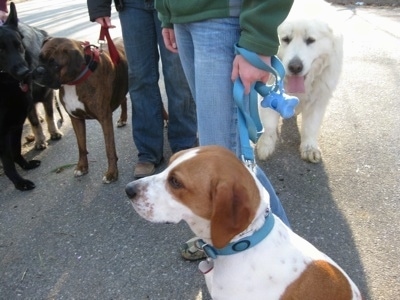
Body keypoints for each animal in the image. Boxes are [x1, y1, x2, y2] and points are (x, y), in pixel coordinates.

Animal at [0, 2, 58, 190]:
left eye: (19, 45)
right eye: (0, 49)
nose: (25, 73)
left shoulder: (46, 95)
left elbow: (50, 114)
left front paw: (54, 132)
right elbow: (33, 122)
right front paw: (40, 140)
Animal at [34, 37, 129, 183]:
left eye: (55, 64)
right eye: (39, 58)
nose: (38, 71)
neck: (74, 82)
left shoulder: (105, 119)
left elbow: (109, 147)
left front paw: (112, 173)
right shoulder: (76, 119)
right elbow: (81, 146)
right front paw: (82, 167)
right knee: (123, 99)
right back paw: (123, 119)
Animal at [256, 0, 344, 163]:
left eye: (310, 40)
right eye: (285, 39)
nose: (295, 67)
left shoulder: (319, 97)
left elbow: (310, 126)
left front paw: (309, 148)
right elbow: (269, 122)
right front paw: (265, 145)